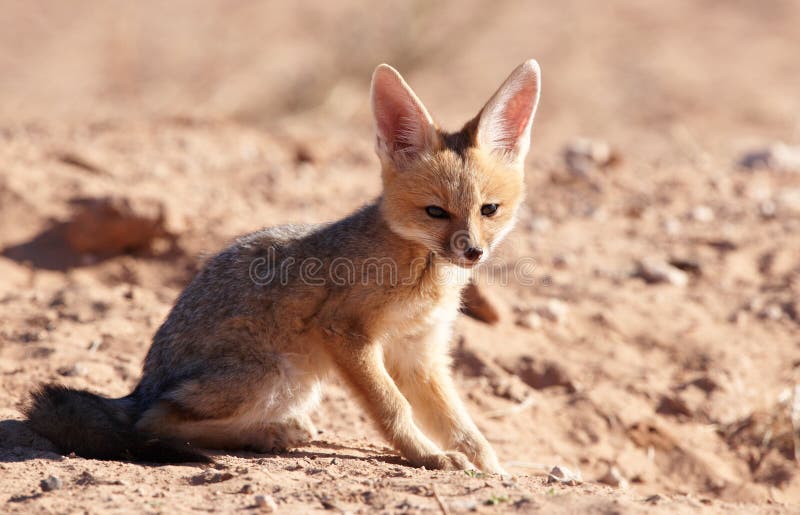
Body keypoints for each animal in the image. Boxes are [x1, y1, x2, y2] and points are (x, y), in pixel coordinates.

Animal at [25, 59, 540, 472]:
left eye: (488, 210)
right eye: (435, 212)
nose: (472, 252)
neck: (422, 274)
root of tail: (142, 386)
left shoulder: (420, 353)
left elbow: (457, 421)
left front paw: (493, 466)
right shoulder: (346, 332)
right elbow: (393, 409)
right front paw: (427, 457)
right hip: (274, 376)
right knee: (155, 422)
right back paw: (263, 433)